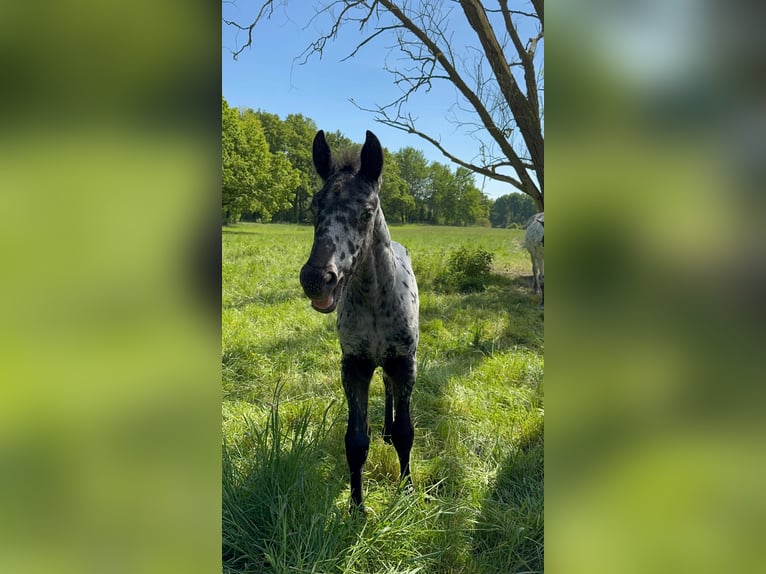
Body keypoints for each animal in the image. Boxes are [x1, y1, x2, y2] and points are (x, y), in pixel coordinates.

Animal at [299, 130, 419, 512]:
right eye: (314, 207)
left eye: (367, 213)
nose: (316, 279)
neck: (375, 304)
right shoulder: (354, 365)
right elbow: (355, 441)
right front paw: (356, 507)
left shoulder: (405, 362)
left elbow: (406, 432)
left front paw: (407, 490)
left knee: (390, 390)